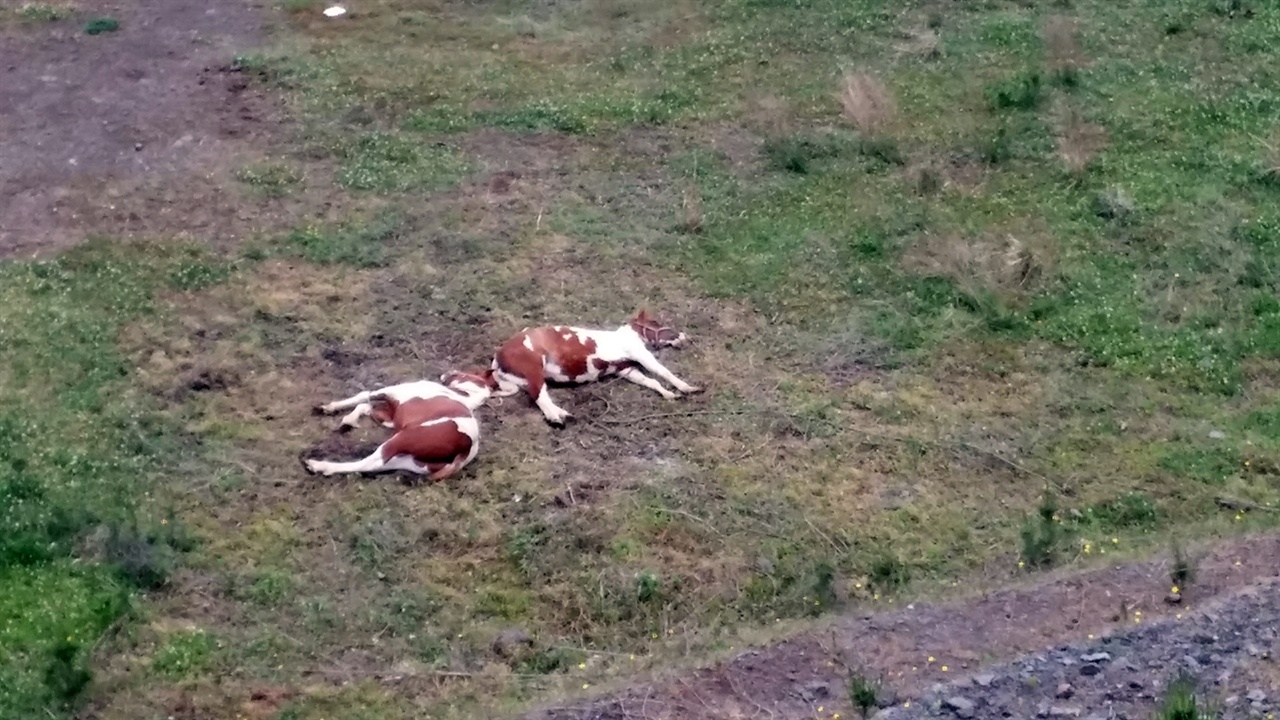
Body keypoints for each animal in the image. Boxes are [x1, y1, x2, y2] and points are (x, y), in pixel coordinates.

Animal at [302, 366, 496, 479]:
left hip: (401, 440)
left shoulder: (391, 392)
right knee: (373, 466)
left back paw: (317, 465)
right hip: (410, 461)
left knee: (373, 461)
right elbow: (366, 407)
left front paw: (329, 409)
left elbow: (364, 396)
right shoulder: (392, 417)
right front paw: (348, 420)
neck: (465, 397)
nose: (446, 372)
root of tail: (466, 447)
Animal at [486, 307, 701, 420]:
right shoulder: (641, 355)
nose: (685, 337)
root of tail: (498, 357)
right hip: (533, 368)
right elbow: (663, 372)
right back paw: (559, 418)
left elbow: (651, 381)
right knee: (539, 396)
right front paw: (689, 388)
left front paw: (669, 395)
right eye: (655, 322)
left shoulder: (625, 369)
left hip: (522, 379)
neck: (626, 336)